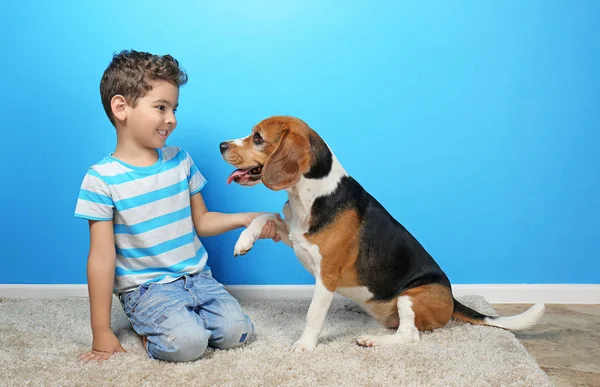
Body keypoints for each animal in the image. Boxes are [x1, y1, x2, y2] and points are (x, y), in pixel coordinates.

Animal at [219, 115, 544, 352]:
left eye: (258, 138)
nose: (221, 144)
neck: (308, 196)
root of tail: (451, 298)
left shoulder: (327, 275)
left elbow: (314, 314)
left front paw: (304, 346)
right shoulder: (297, 237)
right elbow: (266, 216)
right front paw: (243, 241)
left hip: (410, 297)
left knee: (409, 336)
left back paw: (372, 340)